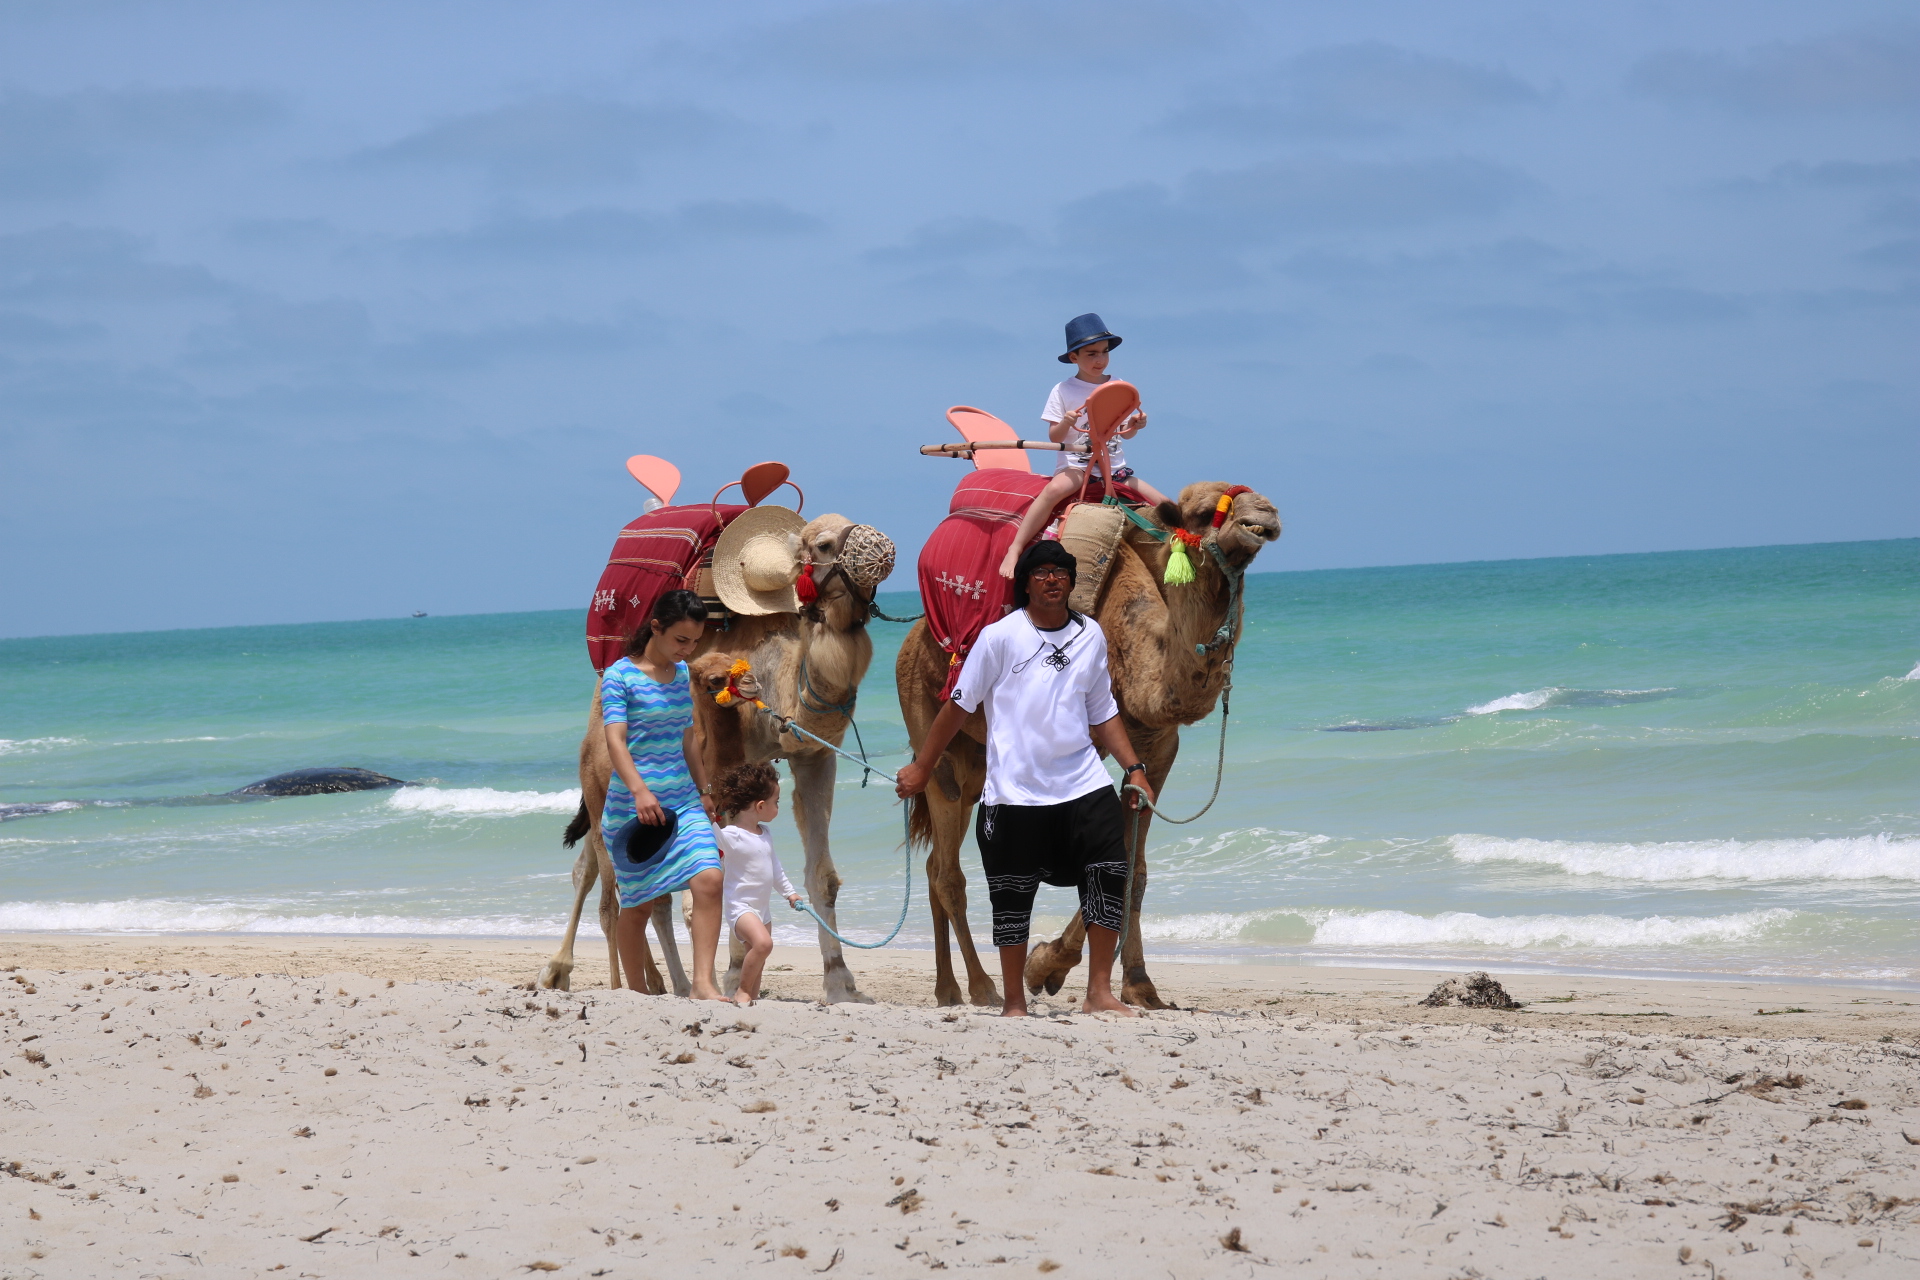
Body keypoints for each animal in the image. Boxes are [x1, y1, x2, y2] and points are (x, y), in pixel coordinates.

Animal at [541, 514, 890, 1005]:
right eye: (823, 544)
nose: (883, 550)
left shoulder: (815, 755)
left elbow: (823, 876)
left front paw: (841, 983)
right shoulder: (720, 769)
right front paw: (734, 972)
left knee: (626, 884)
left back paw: (654, 981)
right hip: (600, 789)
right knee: (608, 889)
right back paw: (602, 980)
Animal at [894, 479, 1274, 1013]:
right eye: (1204, 512)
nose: (1264, 514)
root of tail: (910, 640)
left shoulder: (1157, 749)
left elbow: (1135, 869)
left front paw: (1140, 987)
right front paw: (1043, 966)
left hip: (973, 762)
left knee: (933, 864)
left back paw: (947, 989)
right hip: (928, 722)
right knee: (948, 868)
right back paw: (984, 987)